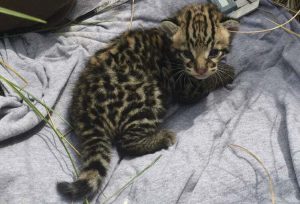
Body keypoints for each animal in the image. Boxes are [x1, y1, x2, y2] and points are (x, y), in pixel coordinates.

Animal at [56, 3, 239, 200]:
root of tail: (86, 111)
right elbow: (205, 83)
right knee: (126, 143)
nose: (201, 69)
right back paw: (162, 138)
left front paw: (219, 69)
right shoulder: (185, 88)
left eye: (213, 52)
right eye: (187, 54)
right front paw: (225, 73)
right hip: (147, 96)